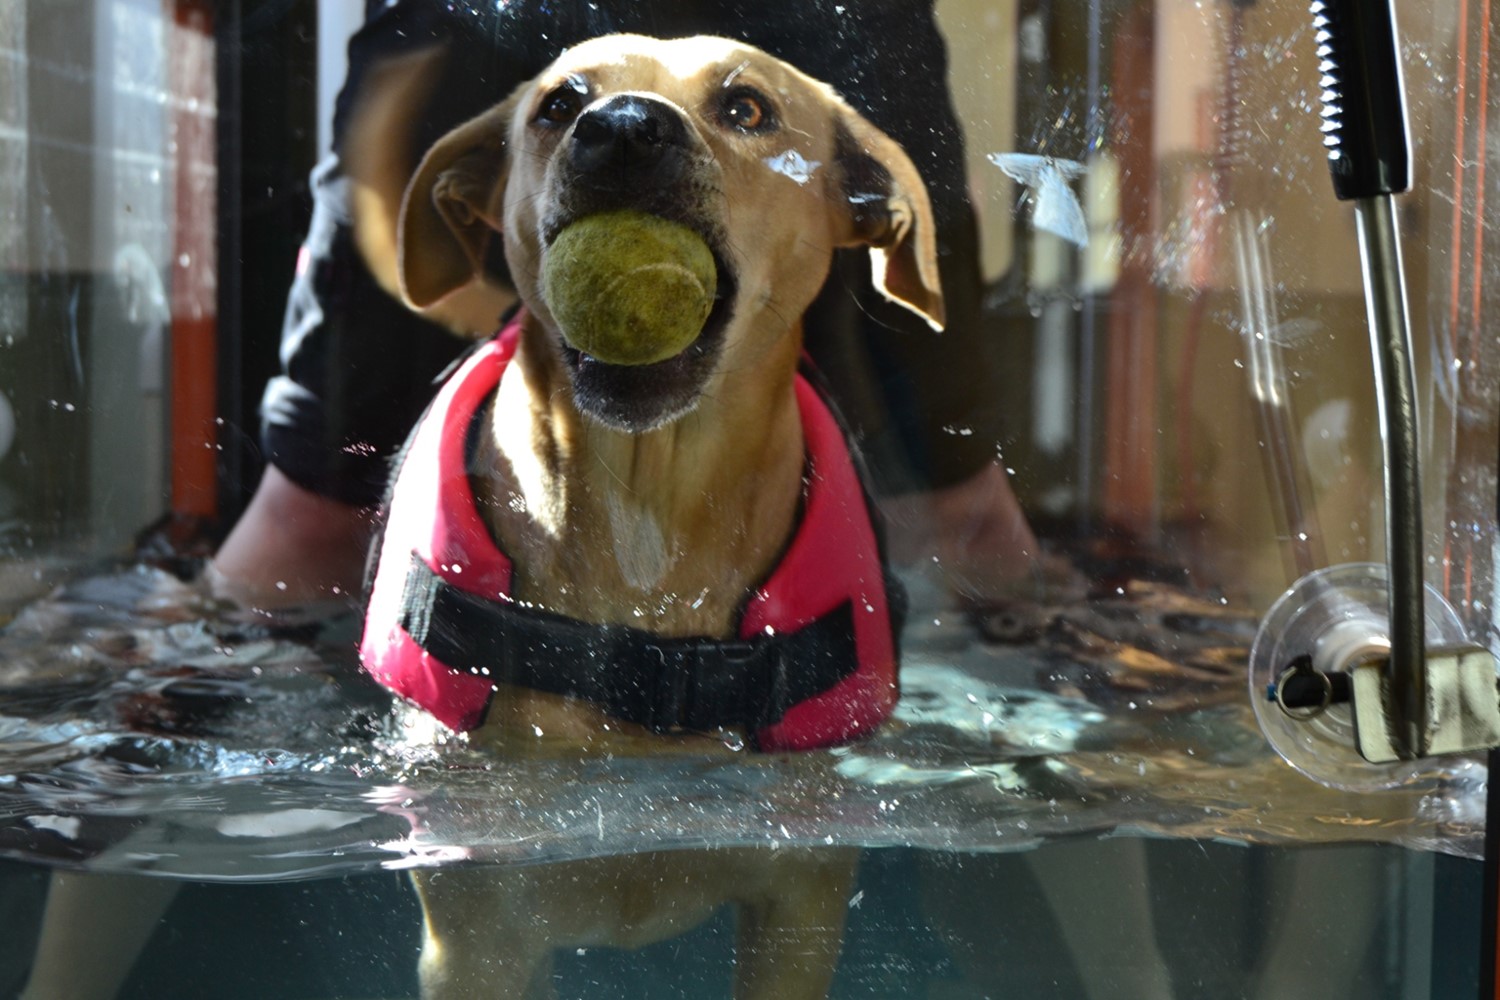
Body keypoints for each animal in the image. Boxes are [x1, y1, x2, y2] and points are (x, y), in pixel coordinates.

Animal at [370, 33, 942, 1000]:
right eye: (559, 104)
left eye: (747, 108)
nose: (624, 129)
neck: (647, 518)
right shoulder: (476, 921)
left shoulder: (802, 885)